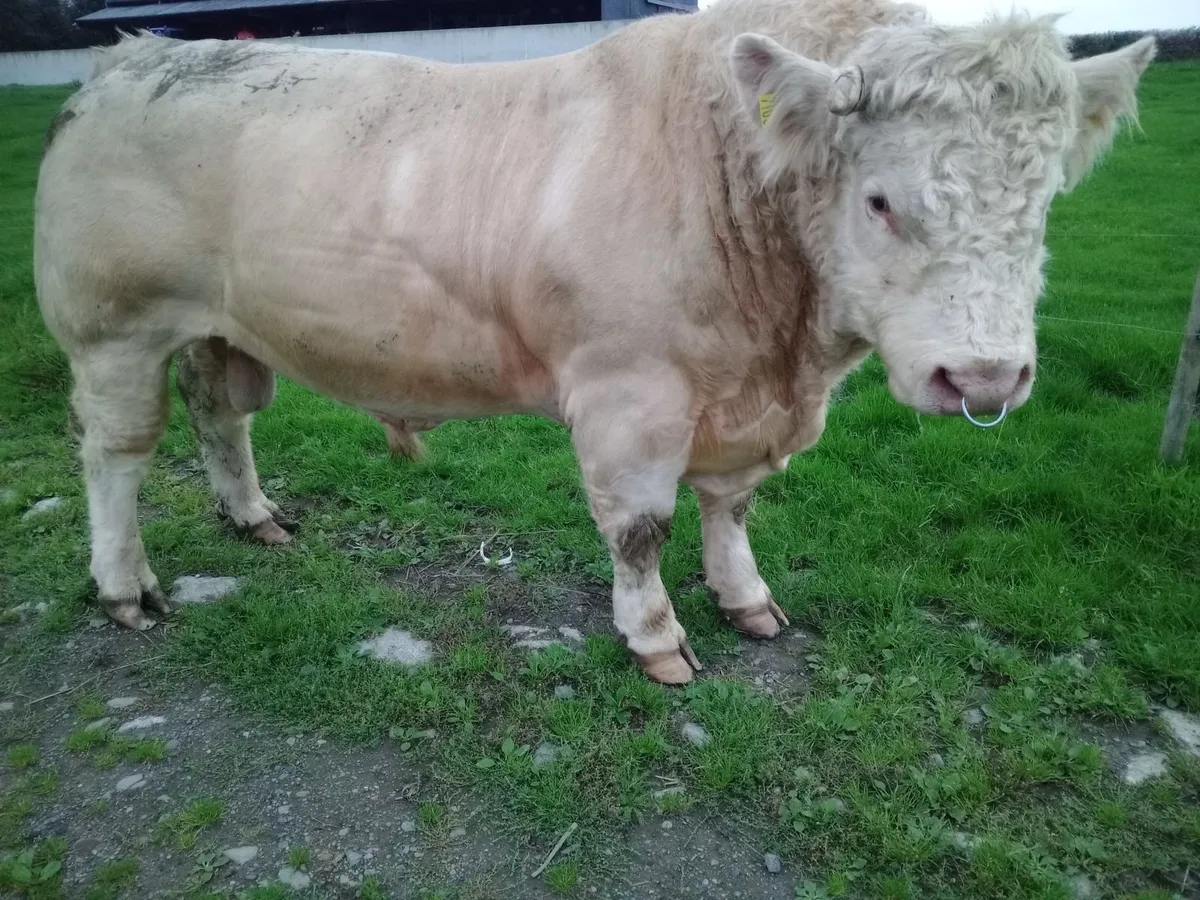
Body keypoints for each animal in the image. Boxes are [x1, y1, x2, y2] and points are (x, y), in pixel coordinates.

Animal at [34, 0, 1155, 684]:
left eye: (1044, 200)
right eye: (880, 200)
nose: (987, 375)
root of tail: (136, 55)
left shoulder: (737, 404)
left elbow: (731, 508)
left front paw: (747, 600)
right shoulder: (632, 394)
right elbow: (641, 529)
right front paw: (657, 640)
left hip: (219, 326)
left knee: (221, 416)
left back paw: (254, 516)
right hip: (114, 329)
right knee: (116, 455)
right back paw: (125, 587)